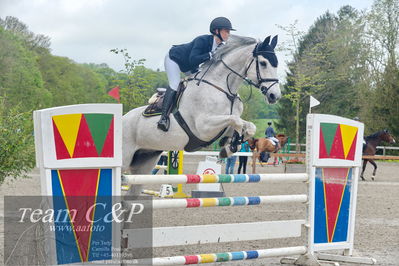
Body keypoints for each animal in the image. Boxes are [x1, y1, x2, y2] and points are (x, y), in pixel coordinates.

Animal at [122, 35, 282, 193]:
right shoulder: (204, 127)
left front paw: (228, 146)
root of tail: (123, 118)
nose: (275, 96)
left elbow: (248, 126)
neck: (224, 89)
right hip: (125, 157)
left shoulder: (223, 126)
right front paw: (230, 146)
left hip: (145, 160)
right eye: (263, 63)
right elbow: (236, 120)